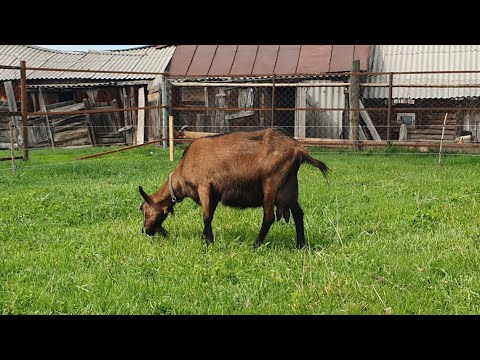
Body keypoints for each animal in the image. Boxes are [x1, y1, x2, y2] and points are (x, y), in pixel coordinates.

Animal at [137, 128, 328, 249]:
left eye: (144, 210)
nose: (145, 231)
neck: (183, 172)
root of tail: (299, 149)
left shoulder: (204, 187)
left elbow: (206, 217)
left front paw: (208, 243)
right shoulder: (214, 194)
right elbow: (209, 216)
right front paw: (205, 239)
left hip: (271, 184)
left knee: (269, 217)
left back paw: (256, 245)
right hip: (288, 188)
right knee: (298, 214)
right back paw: (300, 245)